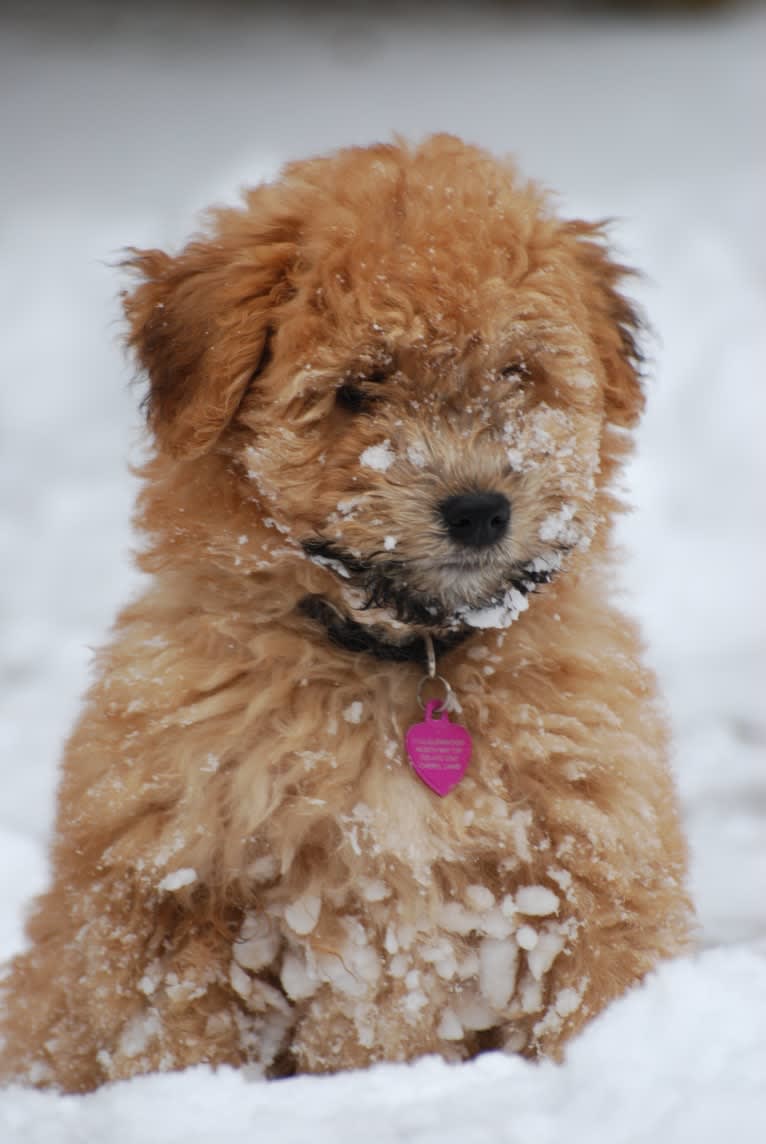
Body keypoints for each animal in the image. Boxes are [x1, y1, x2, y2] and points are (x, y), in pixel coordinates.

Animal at [0, 133, 695, 1089]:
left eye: (516, 372)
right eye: (359, 388)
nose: (480, 510)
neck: (403, 662)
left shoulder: (594, 866)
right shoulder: (173, 893)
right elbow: (177, 1037)